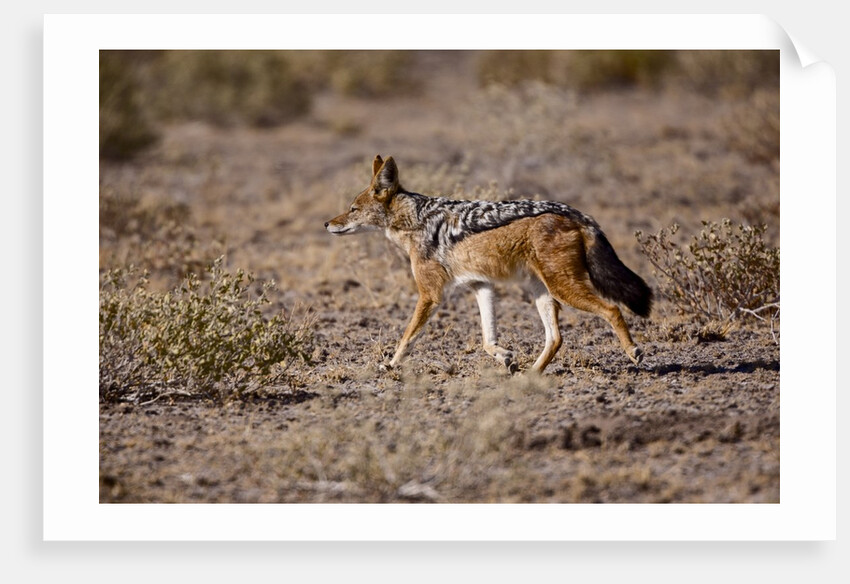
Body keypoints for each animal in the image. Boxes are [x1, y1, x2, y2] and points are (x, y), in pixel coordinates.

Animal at [325, 155, 652, 374]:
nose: (327, 223)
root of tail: (578, 214)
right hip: (543, 292)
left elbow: (407, 337)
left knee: (612, 309)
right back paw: (532, 375)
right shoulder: (481, 286)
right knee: (556, 338)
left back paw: (634, 352)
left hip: (564, 288)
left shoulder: (431, 295)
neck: (416, 220)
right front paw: (504, 357)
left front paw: (390, 365)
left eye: (352, 209)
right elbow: (486, 338)